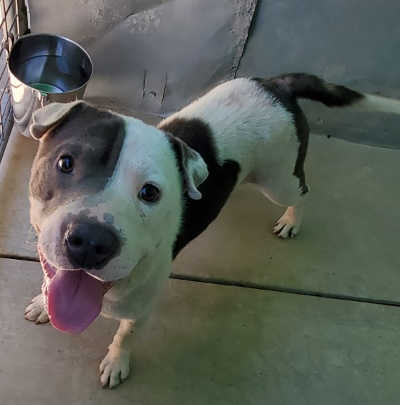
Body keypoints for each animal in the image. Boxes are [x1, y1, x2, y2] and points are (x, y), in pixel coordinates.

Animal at [24, 73, 400, 388]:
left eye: (150, 193)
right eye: (65, 162)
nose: (90, 241)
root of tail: (277, 85)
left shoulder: (140, 309)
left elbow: (125, 336)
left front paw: (117, 363)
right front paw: (42, 302)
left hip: (279, 181)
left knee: (303, 191)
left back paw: (292, 220)